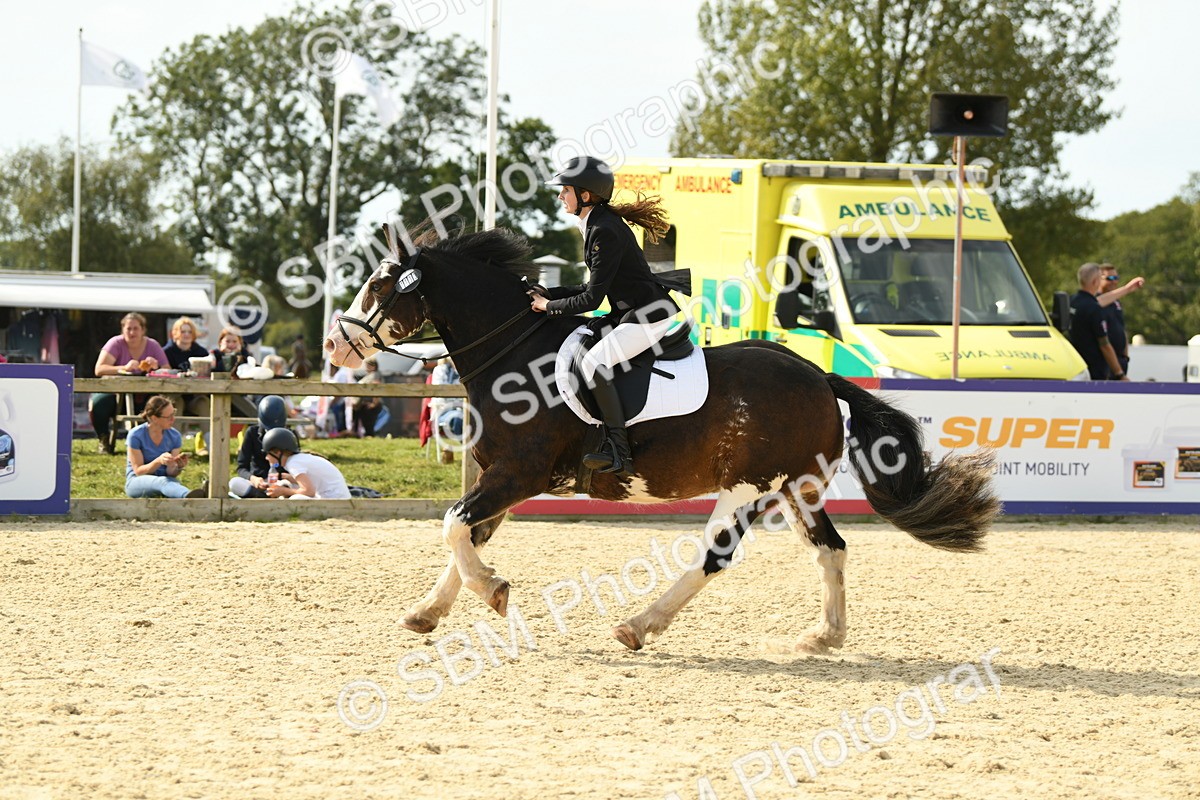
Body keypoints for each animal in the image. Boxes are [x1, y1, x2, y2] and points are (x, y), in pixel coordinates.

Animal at [324, 224, 999, 654]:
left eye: (382, 286)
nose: (335, 345)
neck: (514, 354)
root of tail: (816, 375)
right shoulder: (503, 478)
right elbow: (464, 535)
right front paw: (427, 612)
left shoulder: (520, 474)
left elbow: (454, 527)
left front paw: (495, 592)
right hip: (796, 490)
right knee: (830, 549)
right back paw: (823, 637)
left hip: (747, 487)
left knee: (715, 557)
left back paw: (637, 627)